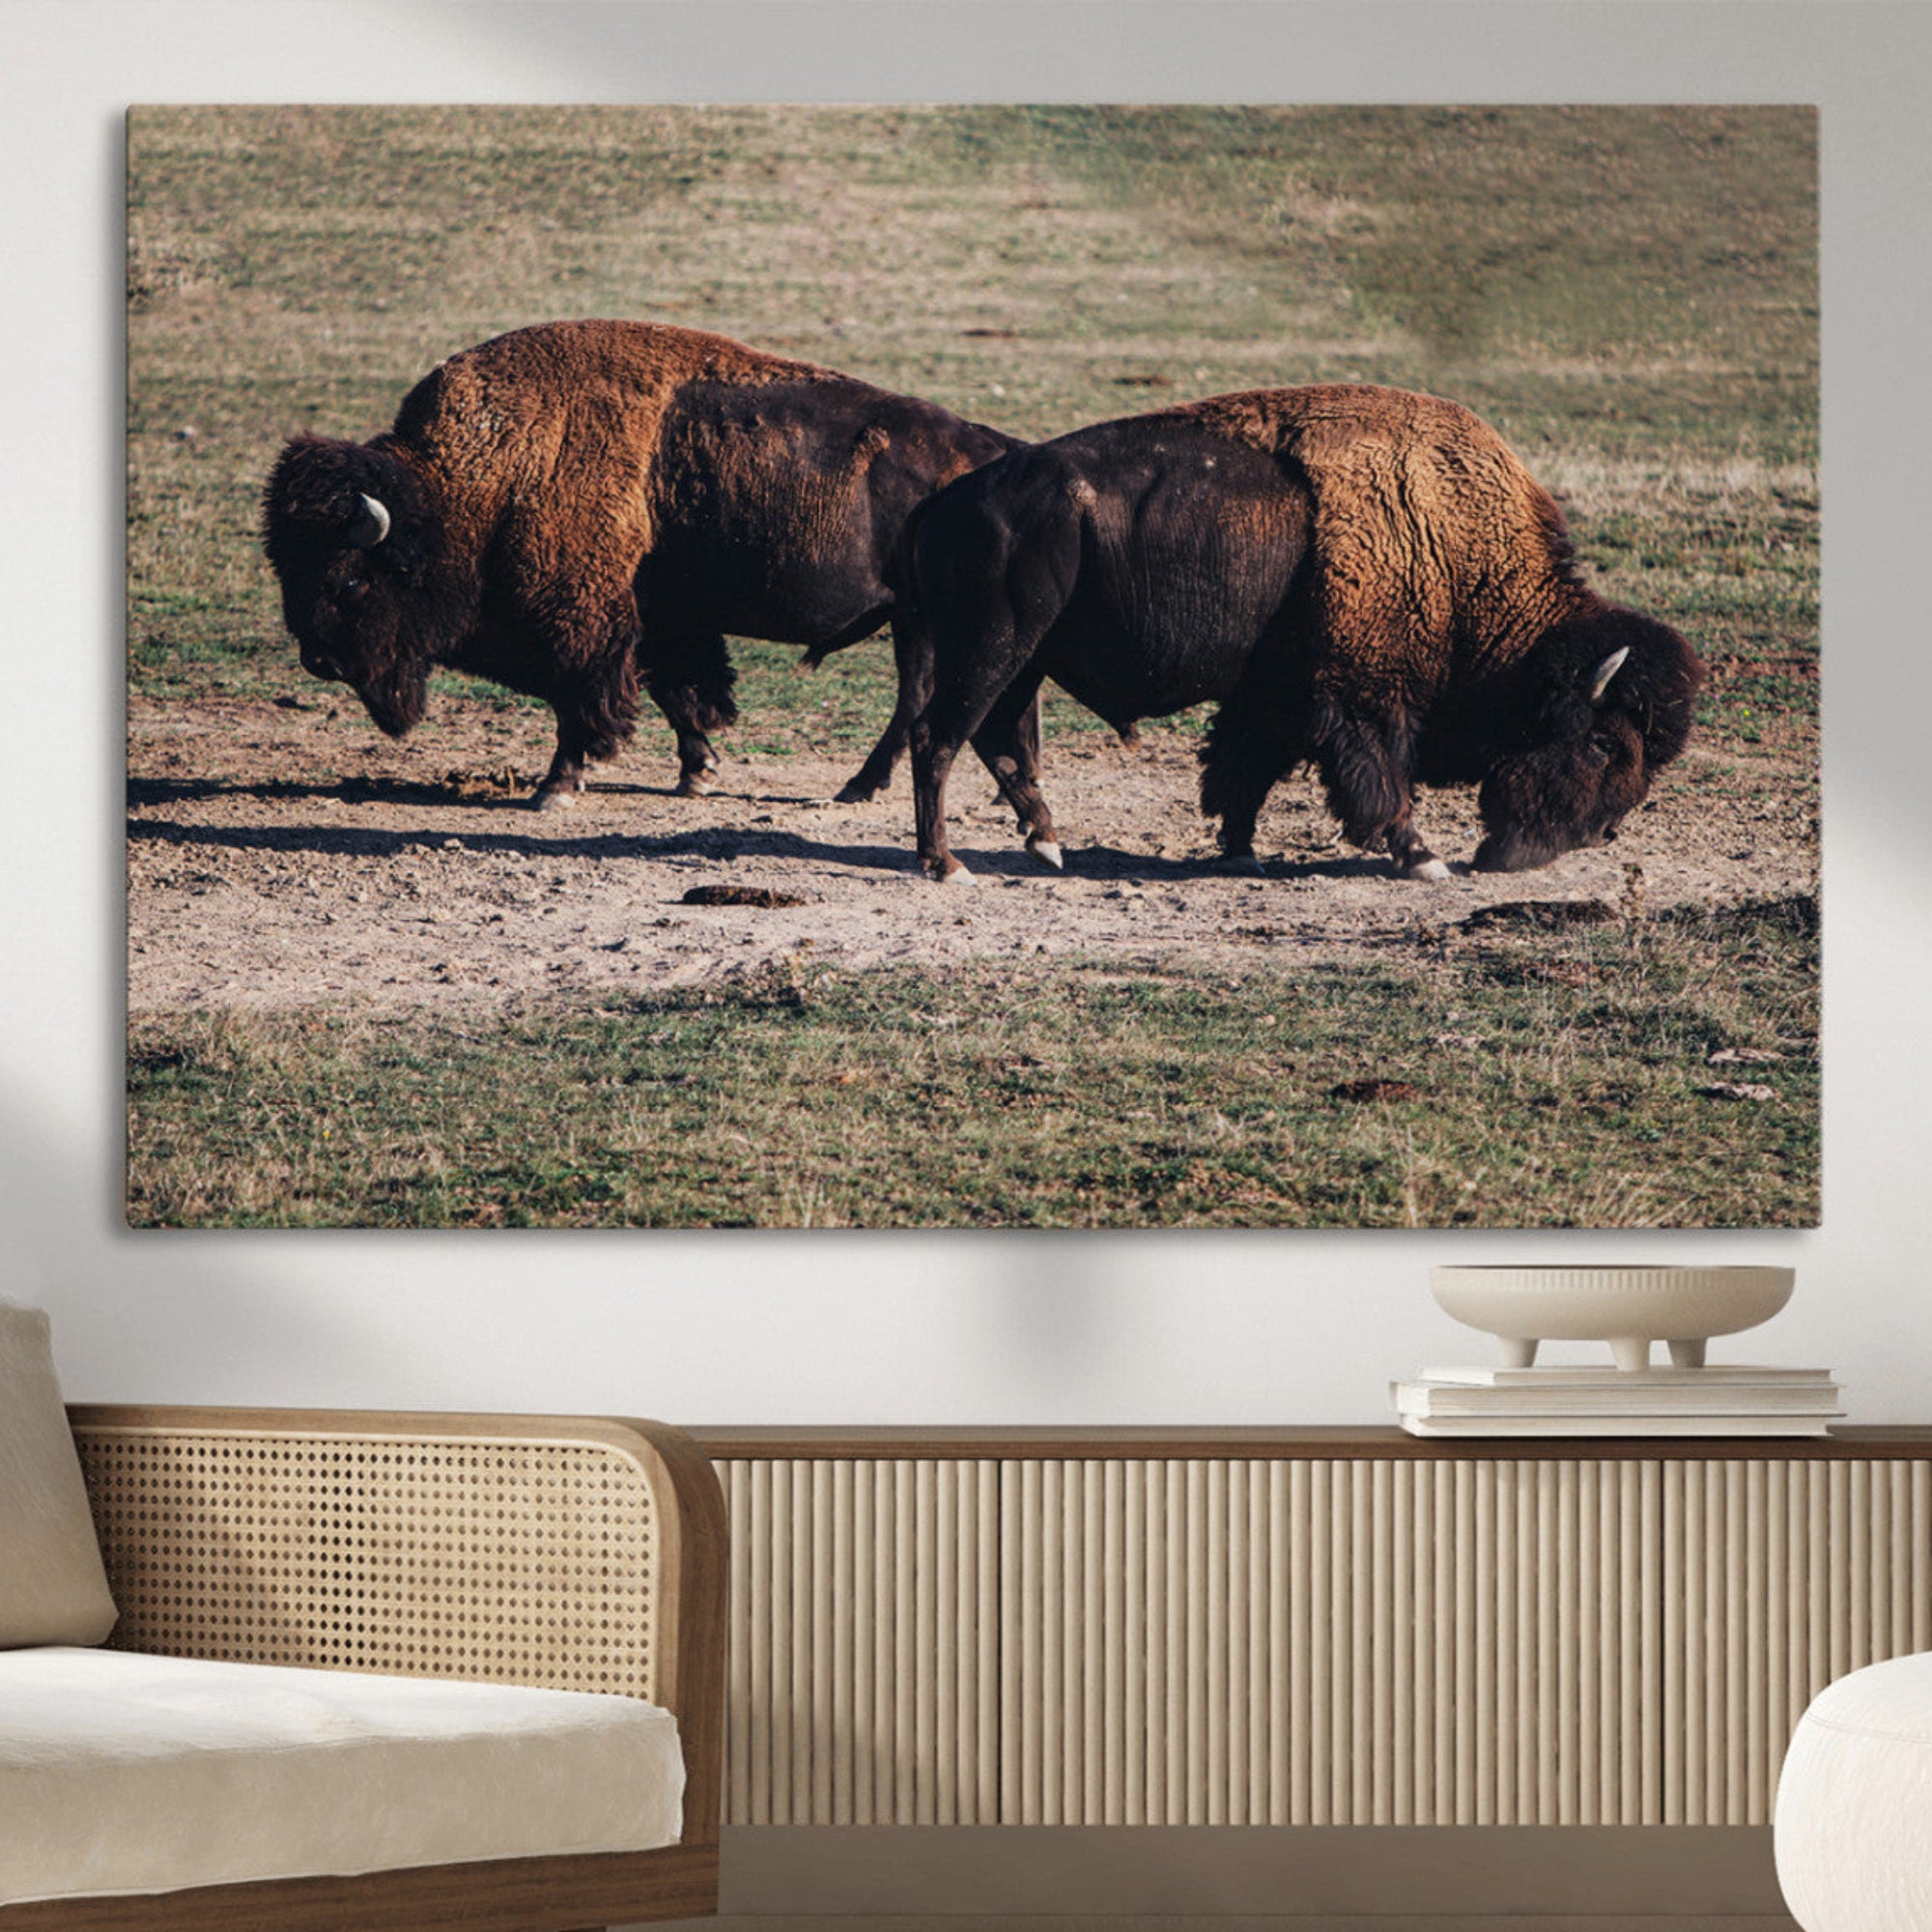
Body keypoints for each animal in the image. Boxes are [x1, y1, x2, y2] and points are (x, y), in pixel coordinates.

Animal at [262, 320, 1019, 806]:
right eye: (286, 568)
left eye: (350, 578)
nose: (319, 660)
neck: (477, 483)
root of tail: (994, 451)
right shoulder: (659, 619)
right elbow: (678, 693)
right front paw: (697, 773)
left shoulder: (583, 626)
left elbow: (582, 702)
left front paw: (555, 788)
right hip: (913, 620)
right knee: (919, 695)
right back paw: (868, 786)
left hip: (920, 619)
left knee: (916, 697)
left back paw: (859, 788)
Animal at [905, 383, 1704, 882]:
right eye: (1602, 744)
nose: (1598, 834)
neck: (1453, 554)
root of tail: (949, 501)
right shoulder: (1361, 700)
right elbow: (1379, 779)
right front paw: (1423, 858)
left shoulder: (1273, 698)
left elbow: (1242, 771)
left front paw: (1240, 852)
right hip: (994, 648)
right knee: (938, 737)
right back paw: (946, 866)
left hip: (1025, 660)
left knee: (996, 741)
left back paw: (1046, 845)